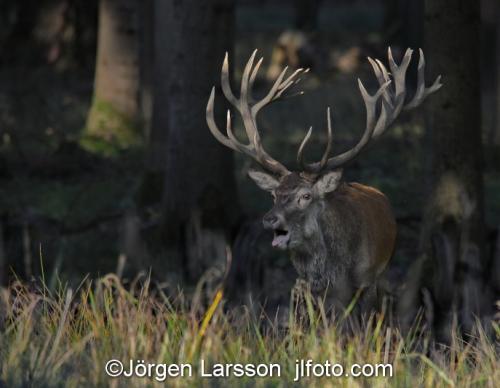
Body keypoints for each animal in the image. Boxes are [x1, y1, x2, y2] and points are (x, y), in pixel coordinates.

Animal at [205, 47, 440, 314]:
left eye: (305, 196)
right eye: (274, 194)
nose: (269, 218)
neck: (337, 271)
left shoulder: (367, 281)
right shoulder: (317, 290)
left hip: (383, 271)